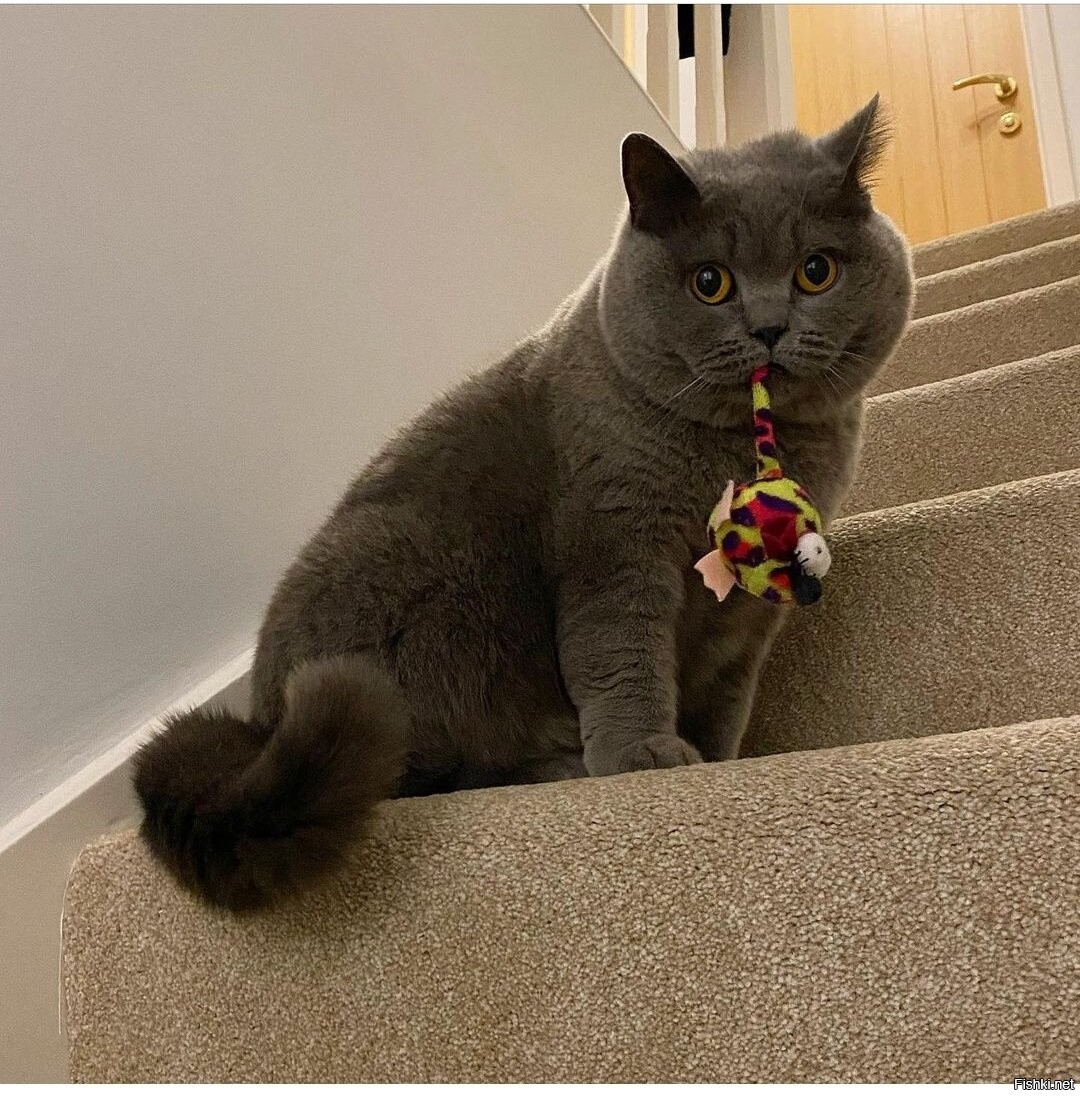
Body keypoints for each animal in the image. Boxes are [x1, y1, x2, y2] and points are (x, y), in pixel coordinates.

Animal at [134, 96, 913, 911]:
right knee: (434, 775)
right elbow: (621, 656)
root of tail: (261, 726)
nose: (768, 327)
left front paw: (720, 758)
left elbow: (727, 692)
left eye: (816, 271)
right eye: (711, 282)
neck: (741, 455)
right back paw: (562, 765)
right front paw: (642, 756)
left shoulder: (751, 619)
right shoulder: (612, 545)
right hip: (427, 595)